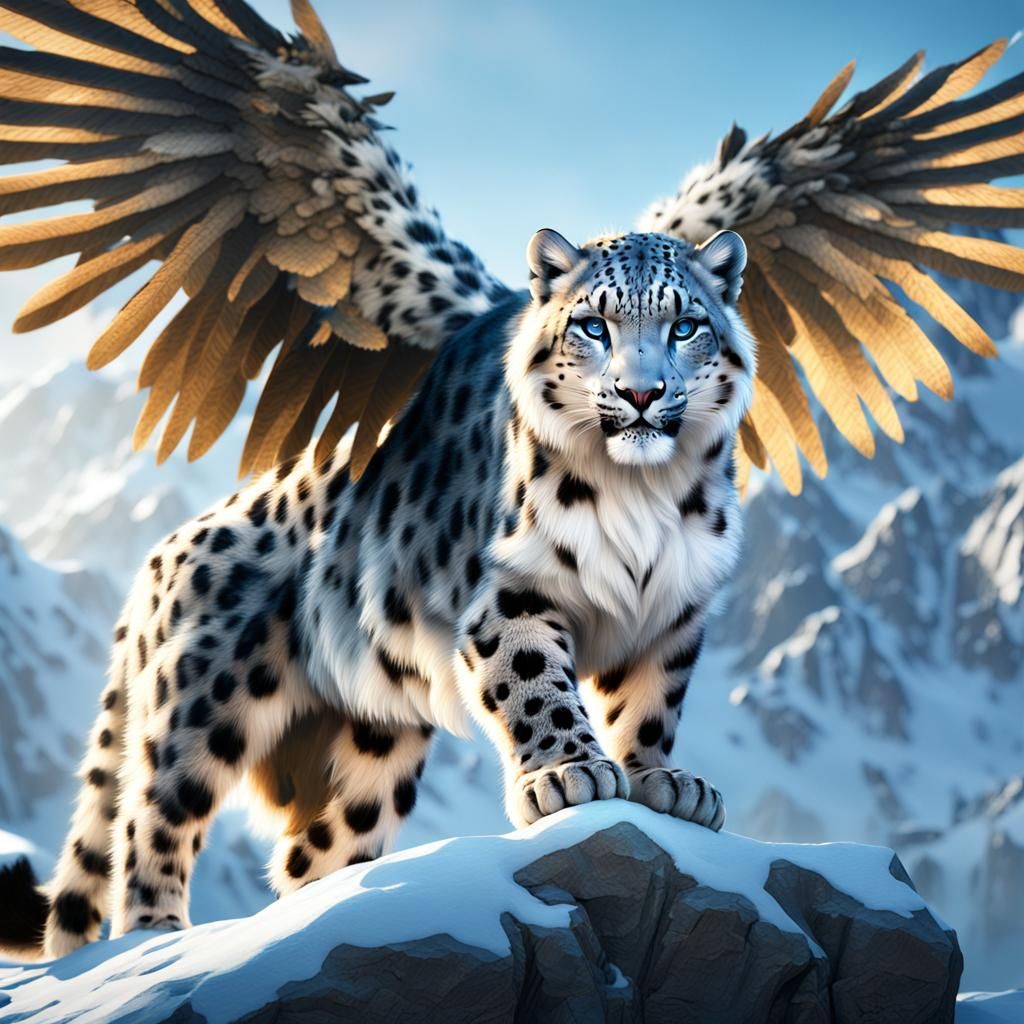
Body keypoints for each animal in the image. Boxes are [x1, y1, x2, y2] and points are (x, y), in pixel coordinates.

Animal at [10, 223, 753, 959]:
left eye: (686, 326)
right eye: (594, 326)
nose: (640, 394)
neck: (642, 495)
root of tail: (158, 558)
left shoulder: (671, 614)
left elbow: (649, 705)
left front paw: (663, 783)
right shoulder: (510, 595)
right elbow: (535, 681)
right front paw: (568, 774)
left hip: (375, 750)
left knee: (313, 853)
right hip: (200, 707)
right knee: (151, 818)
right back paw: (157, 937)